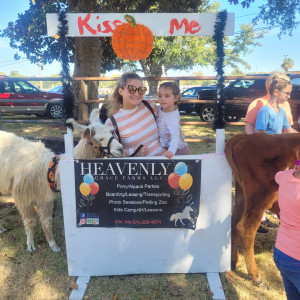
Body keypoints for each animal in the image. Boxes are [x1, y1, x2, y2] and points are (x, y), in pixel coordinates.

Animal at [0, 109, 123, 252]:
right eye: (98, 139)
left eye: (111, 133)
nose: (121, 148)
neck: (49, 170)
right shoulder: (23, 196)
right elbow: (29, 221)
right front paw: (30, 245)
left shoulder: (46, 198)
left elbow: (47, 221)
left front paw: (53, 245)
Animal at [225, 132, 300, 284]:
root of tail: (247, 137)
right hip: (261, 197)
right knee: (245, 228)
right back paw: (256, 276)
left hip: (242, 195)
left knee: (234, 222)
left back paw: (235, 261)